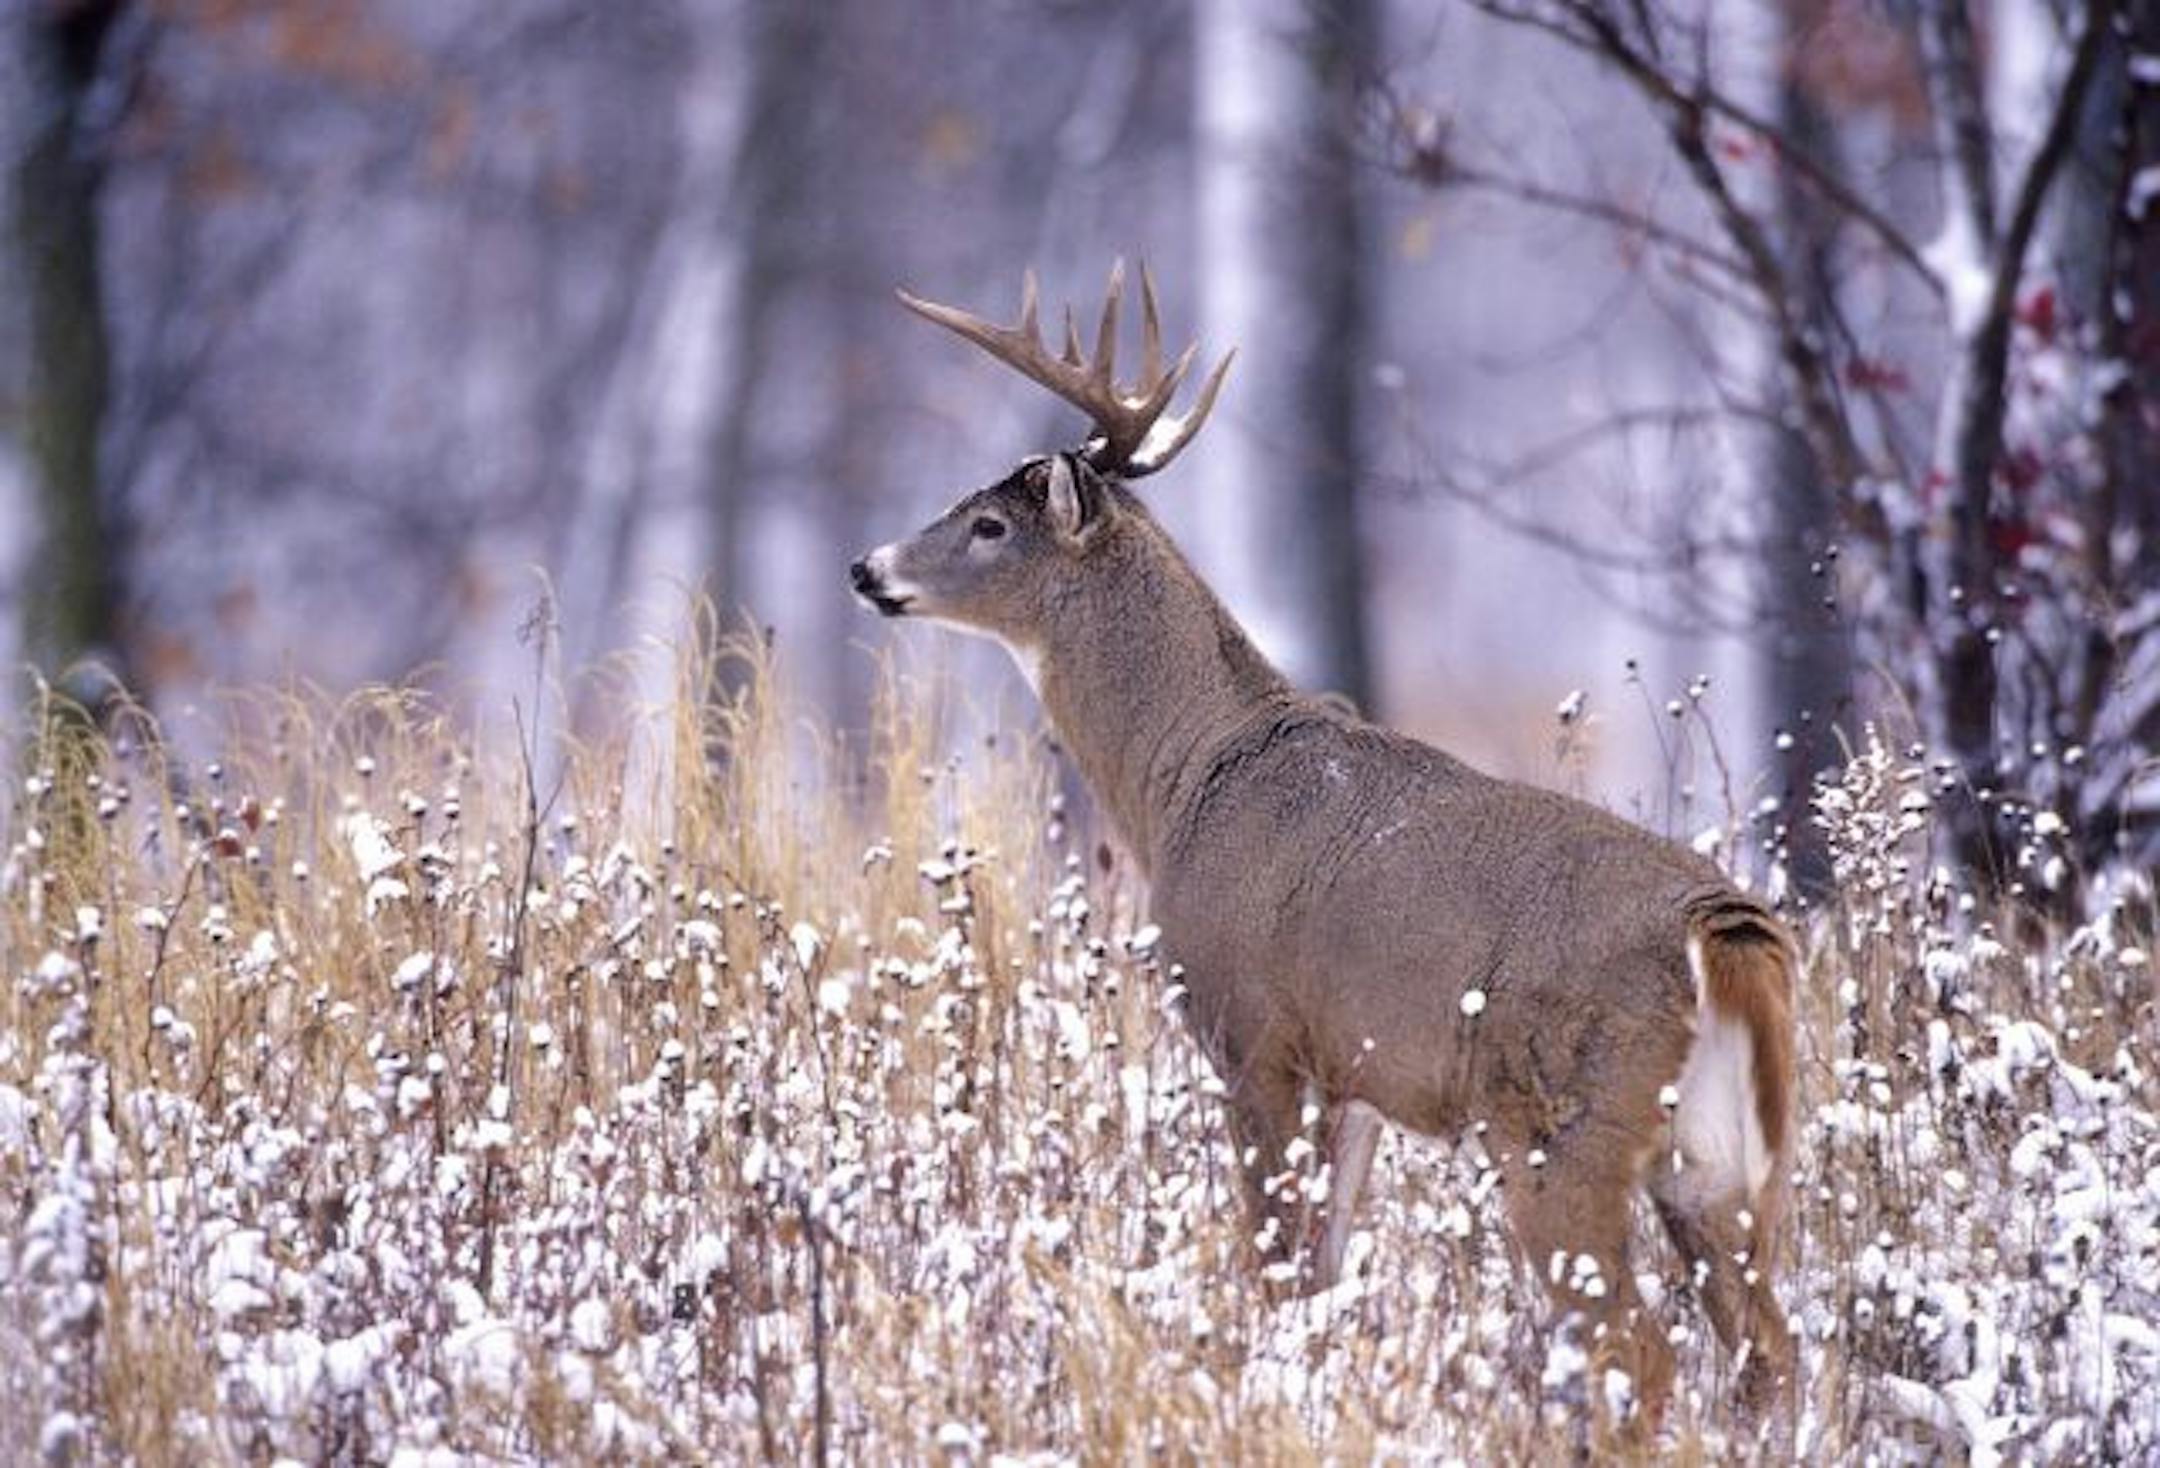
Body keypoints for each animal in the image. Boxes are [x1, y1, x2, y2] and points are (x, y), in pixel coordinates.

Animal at [847, 262, 1797, 1420]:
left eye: (988, 523)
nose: (866, 567)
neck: (1183, 781)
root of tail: (1726, 929)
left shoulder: (1251, 1032)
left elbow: (1272, 1274)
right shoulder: (1354, 1078)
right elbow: (1325, 1276)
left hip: (1560, 1130)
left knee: (1641, 1347)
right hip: (1721, 1162)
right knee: (1773, 1350)